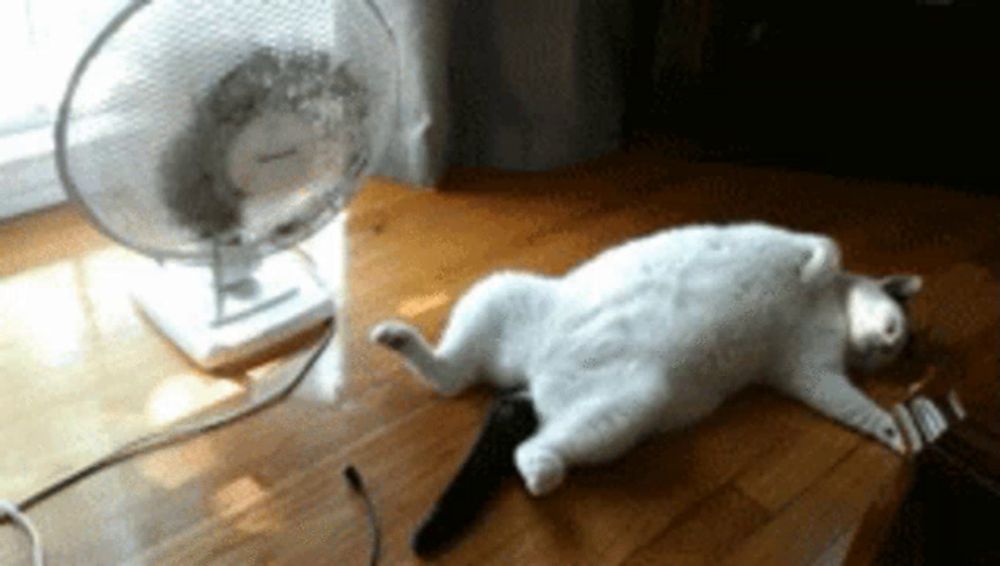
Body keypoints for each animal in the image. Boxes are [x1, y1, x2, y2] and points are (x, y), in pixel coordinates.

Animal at [370, 224, 920, 500]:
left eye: (888, 355)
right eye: (893, 331)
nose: (877, 353)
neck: (827, 311)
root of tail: (535, 373)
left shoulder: (811, 372)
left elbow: (854, 407)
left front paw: (897, 433)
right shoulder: (782, 236)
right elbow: (827, 245)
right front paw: (815, 267)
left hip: (621, 405)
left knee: (484, 406)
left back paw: (541, 472)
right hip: (503, 292)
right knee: (453, 377)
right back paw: (396, 335)